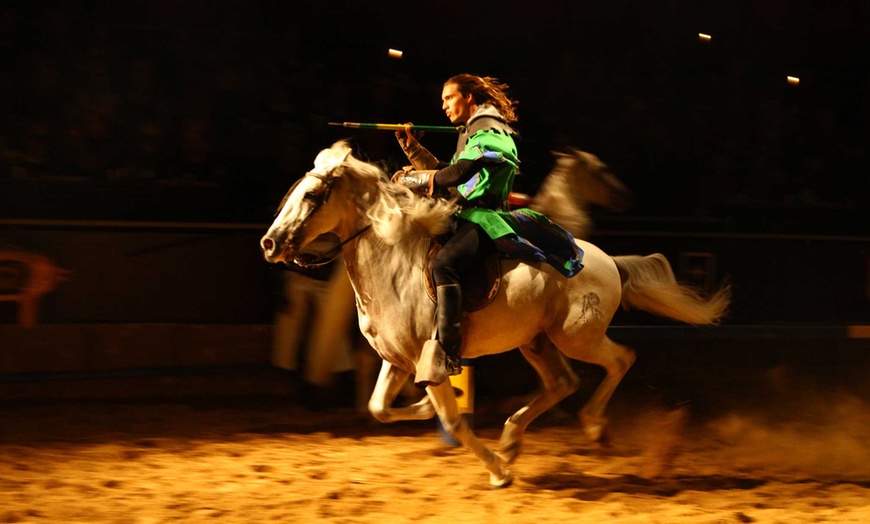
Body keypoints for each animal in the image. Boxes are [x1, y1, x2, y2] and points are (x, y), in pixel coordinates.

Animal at [262, 140, 732, 488]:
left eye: (311, 195)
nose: (270, 243)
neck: (393, 262)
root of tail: (608, 262)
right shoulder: (397, 360)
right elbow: (379, 407)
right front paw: (426, 410)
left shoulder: (427, 359)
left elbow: (455, 421)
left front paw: (498, 472)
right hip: (537, 341)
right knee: (563, 382)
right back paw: (512, 440)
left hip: (577, 337)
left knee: (619, 360)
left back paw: (592, 428)